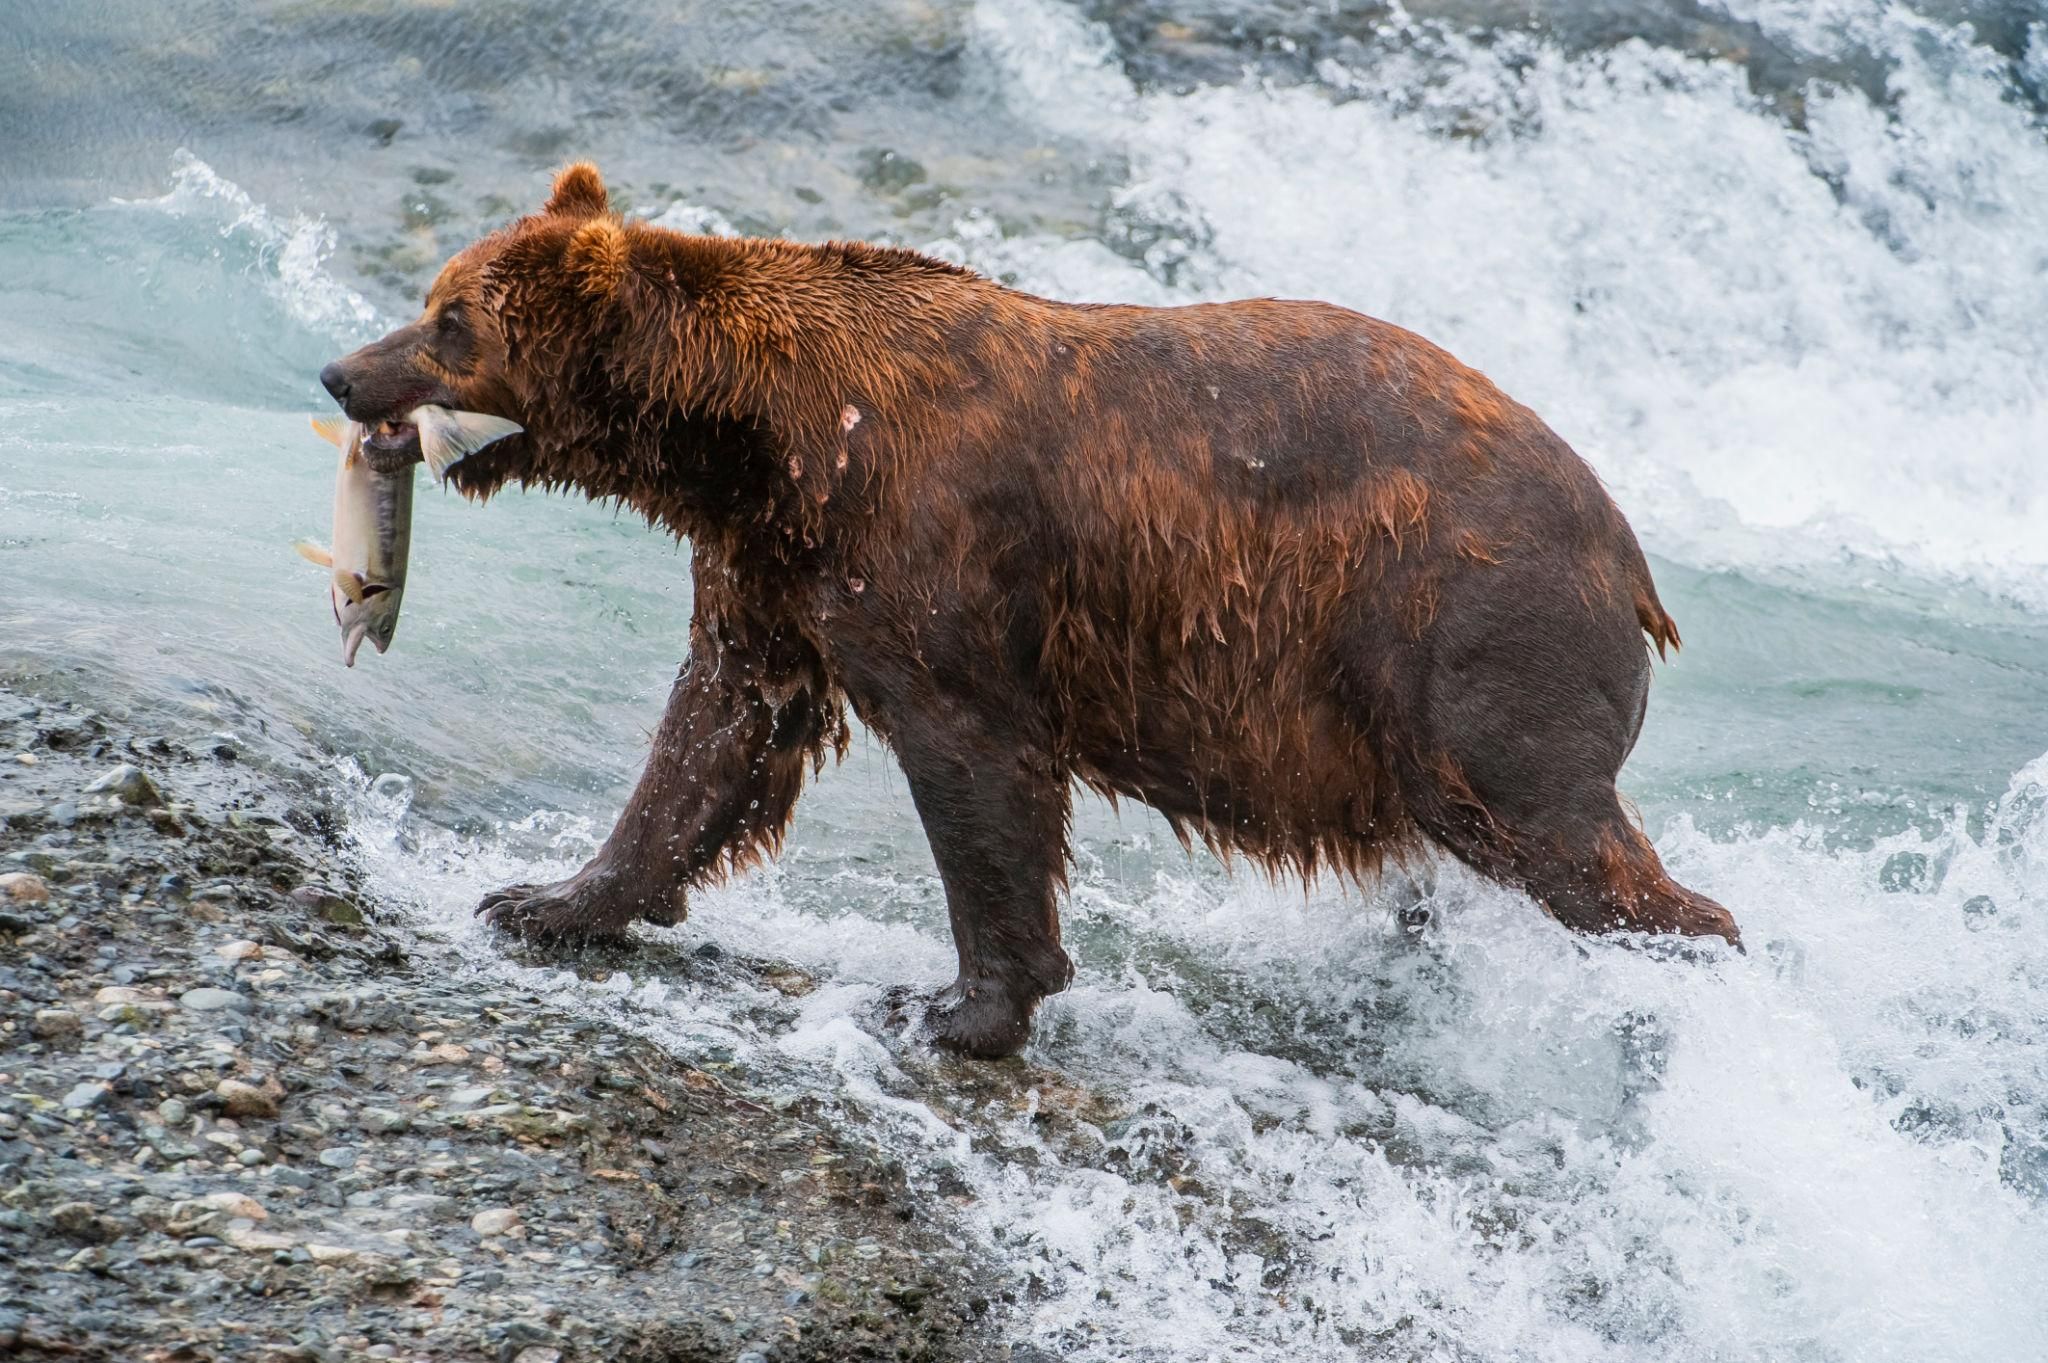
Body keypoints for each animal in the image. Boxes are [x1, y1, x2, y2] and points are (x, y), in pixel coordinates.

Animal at [317, 163, 1739, 1057]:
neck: (762, 439)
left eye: (447, 321)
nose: (338, 368)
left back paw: (1691, 966)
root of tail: (1629, 551)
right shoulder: (771, 569)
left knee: (1549, 828)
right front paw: (545, 898)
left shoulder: (928, 545)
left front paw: (957, 1005)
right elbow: (716, 732)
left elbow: (974, 762)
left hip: (1466, 628)